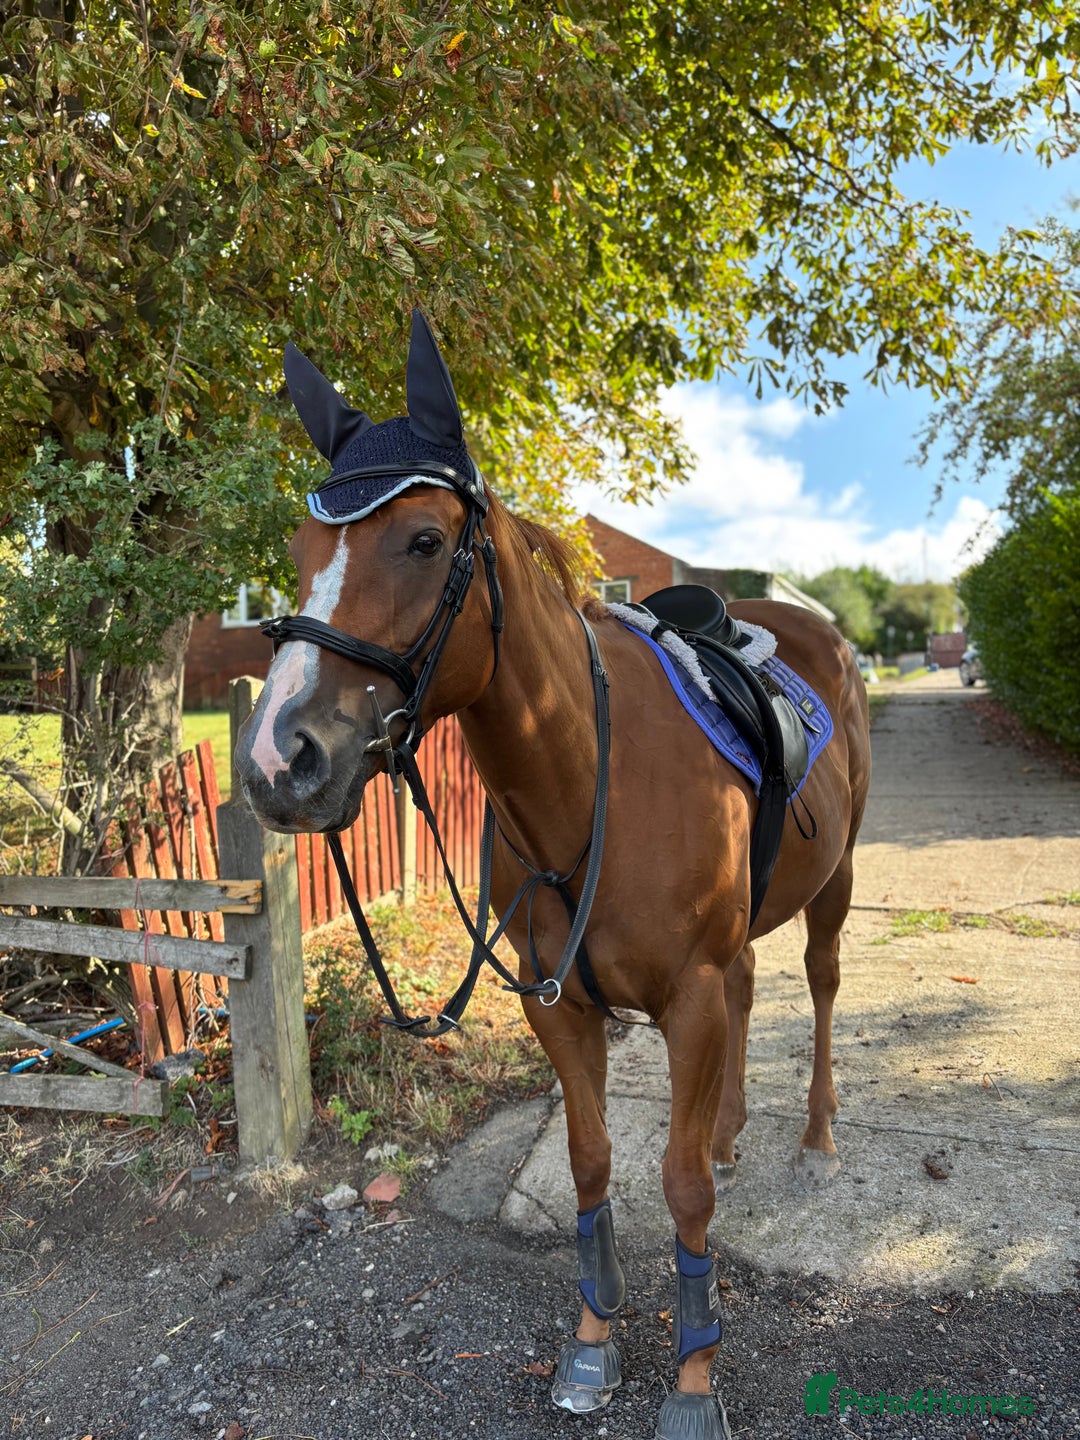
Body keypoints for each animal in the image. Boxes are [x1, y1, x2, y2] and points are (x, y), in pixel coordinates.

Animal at [234, 310, 872, 1440]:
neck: (588, 780)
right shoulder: (558, 1004)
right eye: (302, 552)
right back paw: (735, 1132)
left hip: (833, 887)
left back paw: (816, 1135)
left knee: (825, 985)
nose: (277, 759)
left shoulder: (687, 999)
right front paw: (592, 1343)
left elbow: (682, 1189)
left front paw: (694, 1379)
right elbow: (591, 1162)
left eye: (425, 540)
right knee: (755, 992)